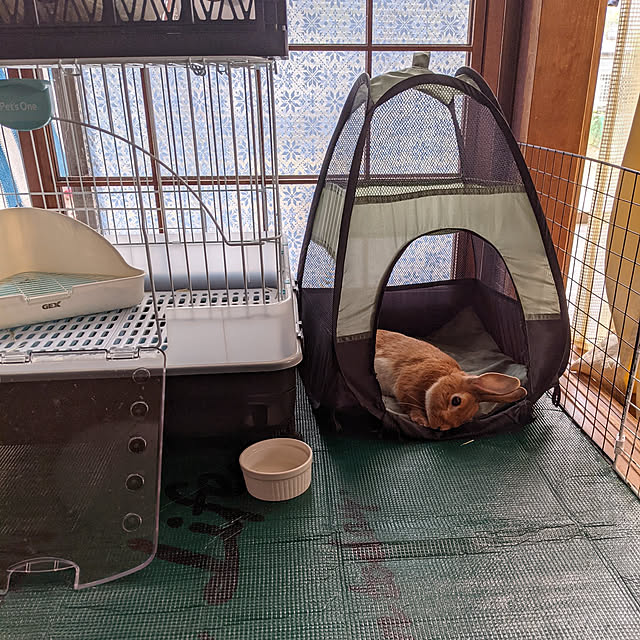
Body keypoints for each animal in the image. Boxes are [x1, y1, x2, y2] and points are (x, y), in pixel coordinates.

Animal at [374, 329, 527, 430]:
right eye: (456, 401)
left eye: (466, 421)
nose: (439, 427)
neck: (440, 377)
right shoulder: (407, 384)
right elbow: (411, 406)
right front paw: (422, 421)